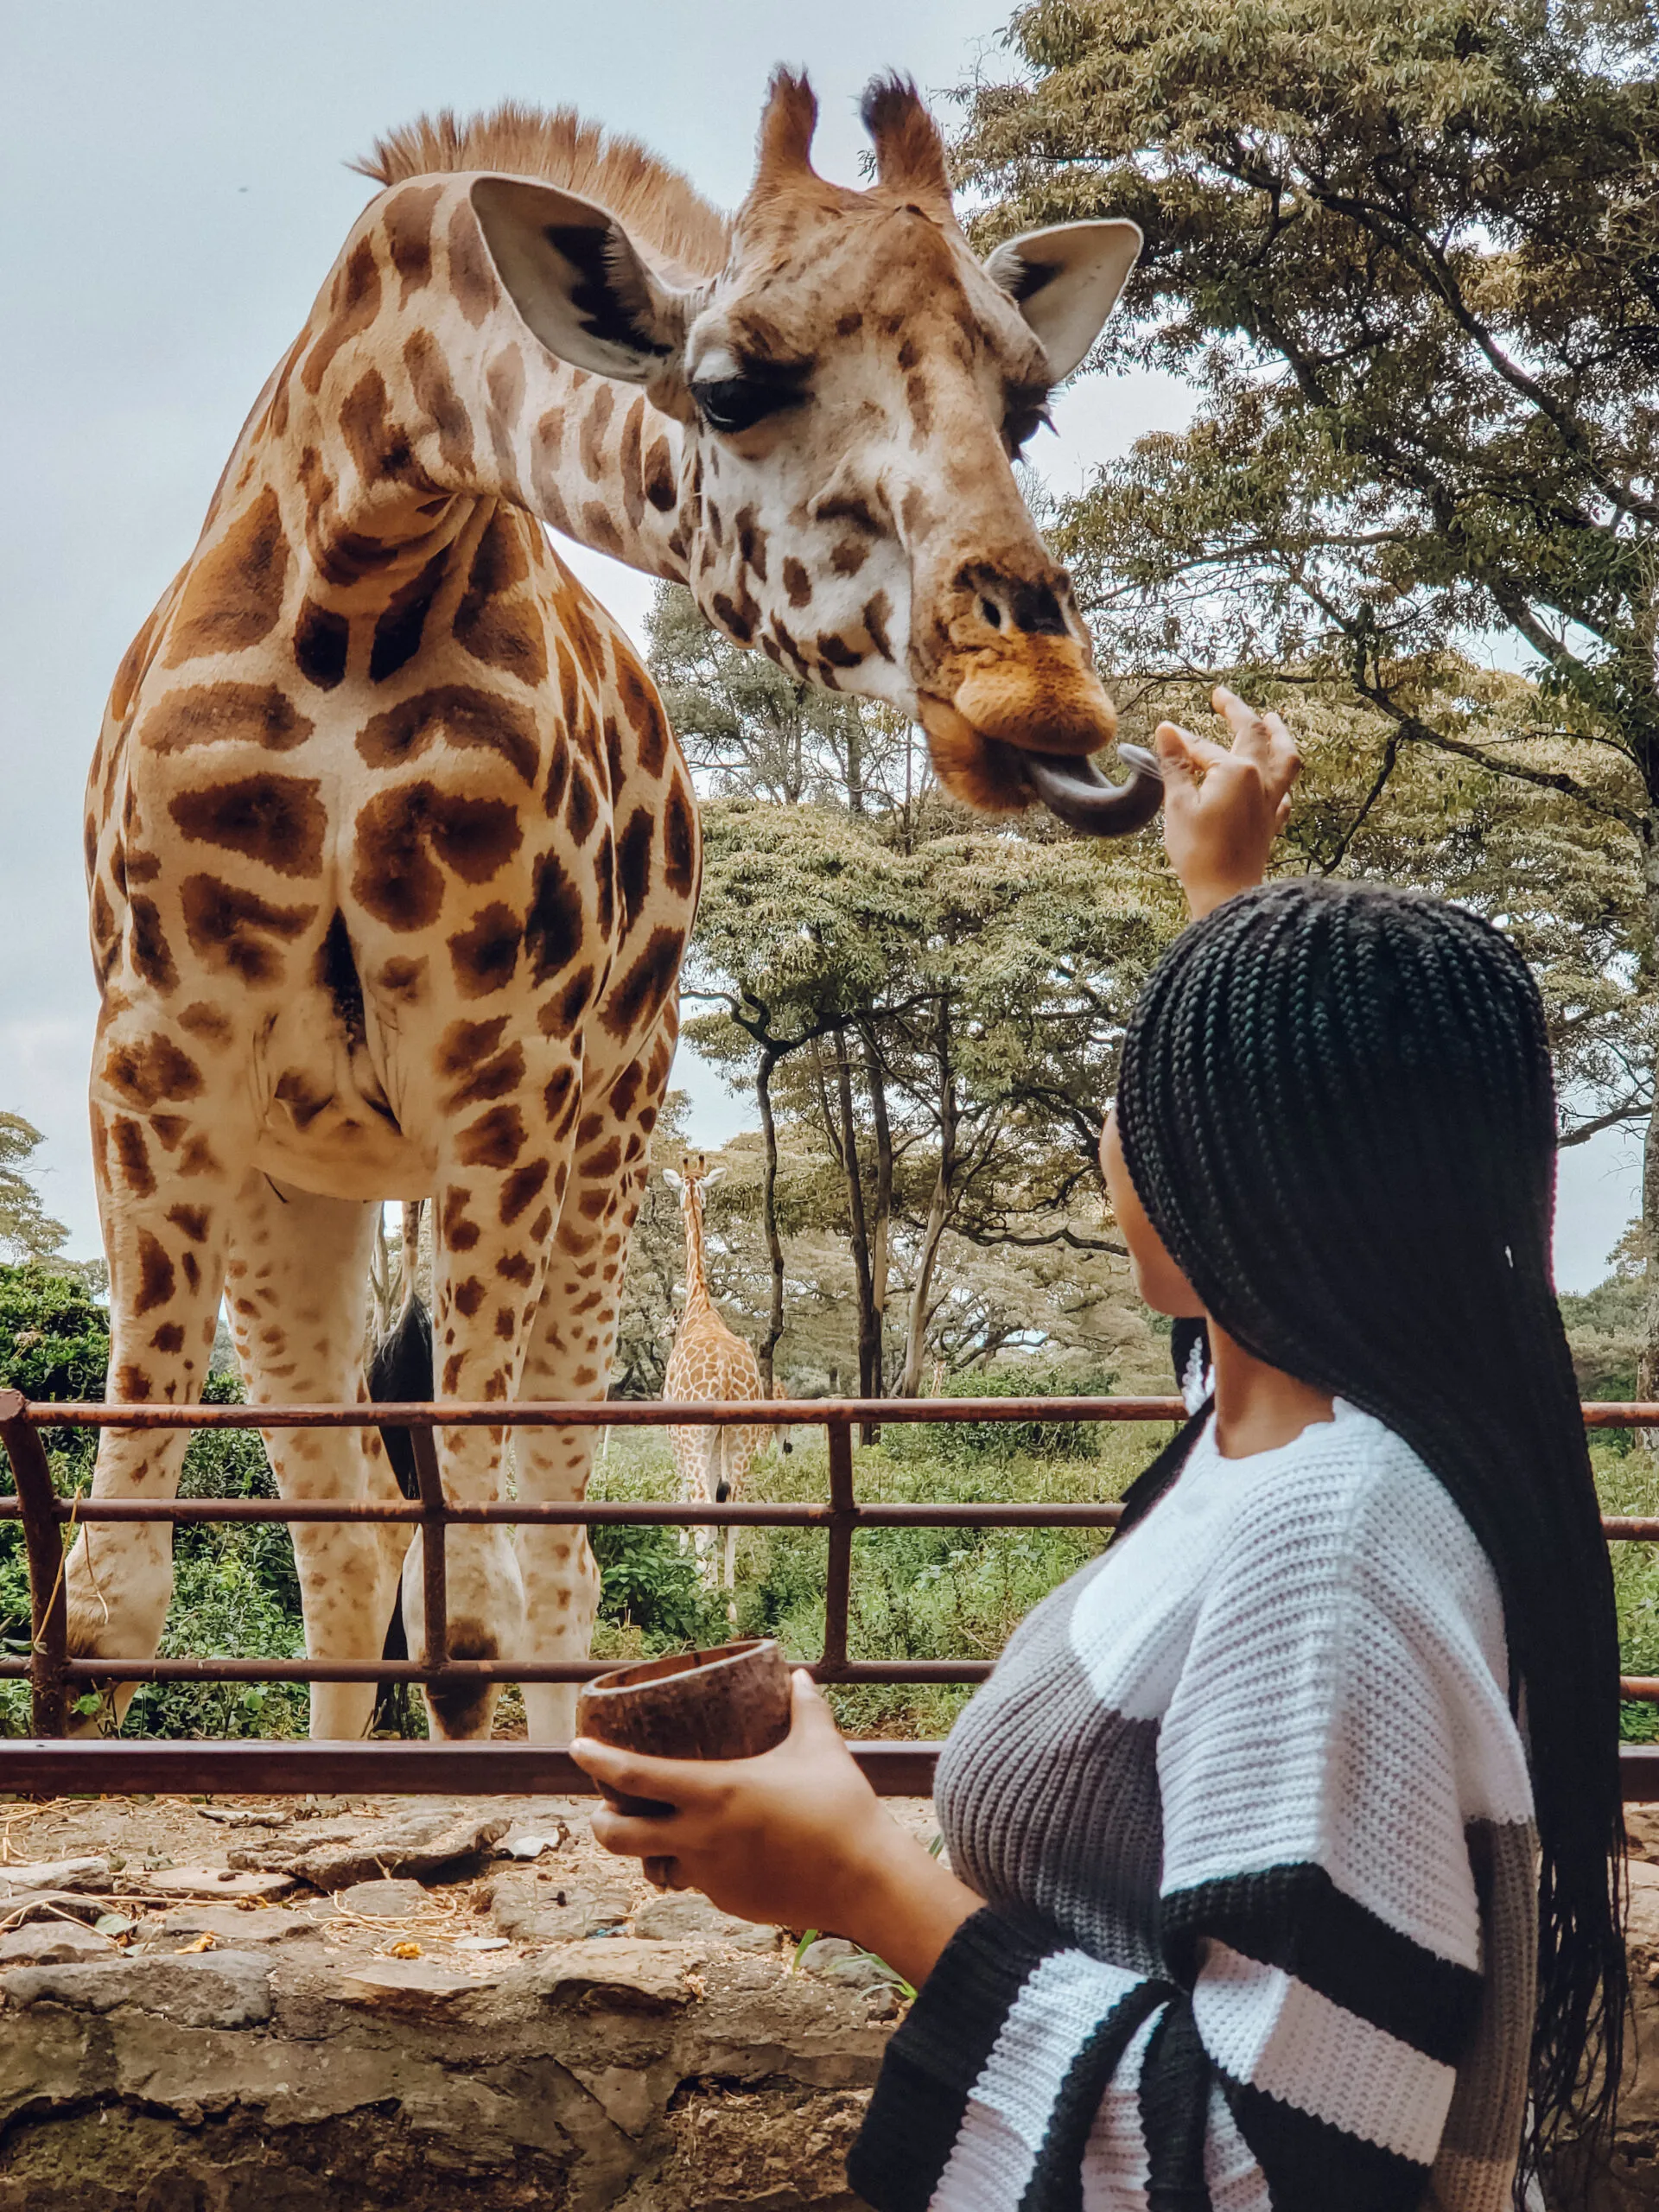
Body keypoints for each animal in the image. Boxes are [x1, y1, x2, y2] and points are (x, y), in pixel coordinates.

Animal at [70, 70, 1159, 1744]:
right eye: (727, 389)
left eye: (1025, 408)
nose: (1042, 700)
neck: (356, 572)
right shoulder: (151, 1055)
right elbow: (114, 1605)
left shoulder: (502, 1071)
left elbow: (481, 1590)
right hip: (296, 1181)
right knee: (351, 1546)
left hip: (602, 1142)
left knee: (540, 1553)